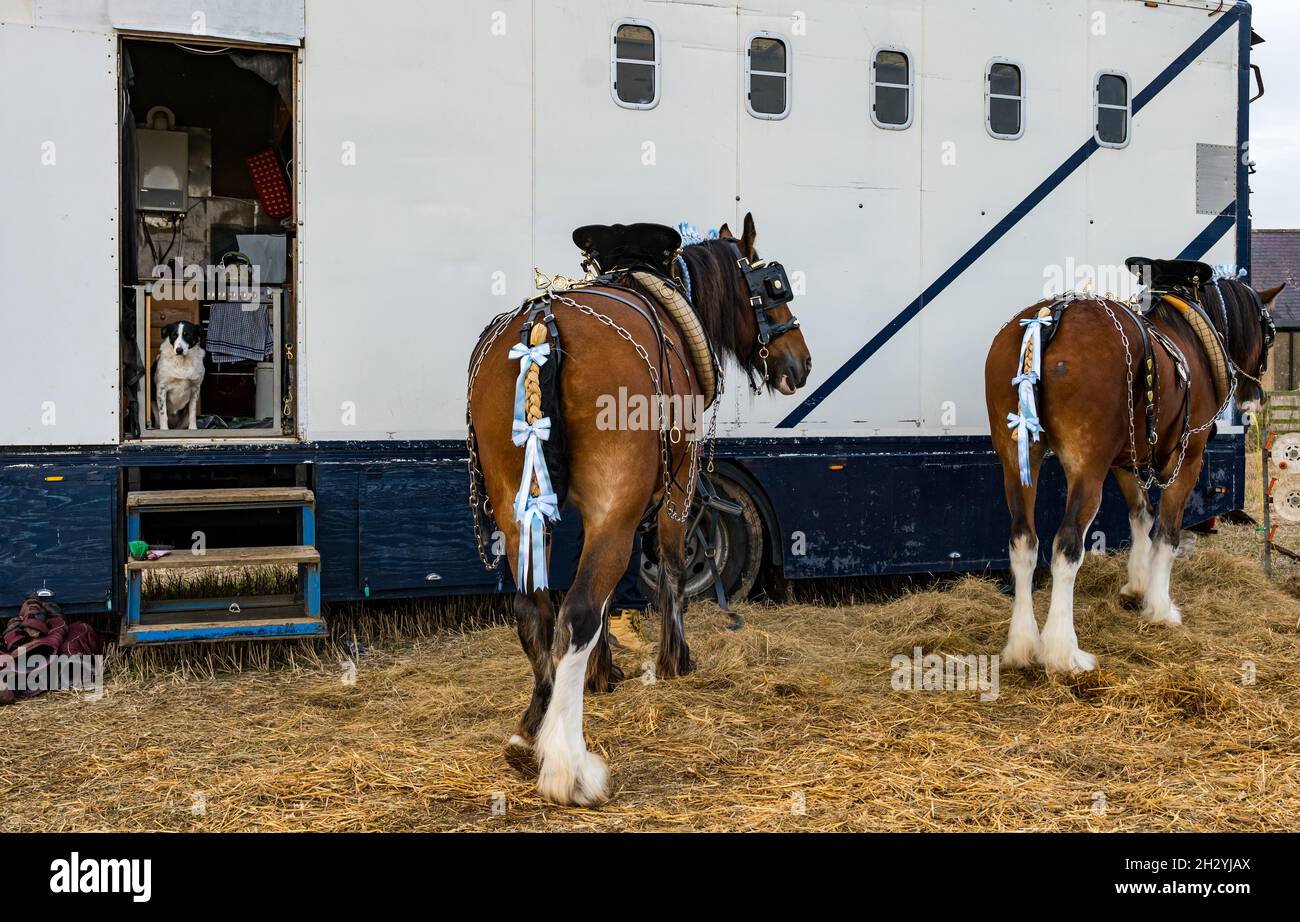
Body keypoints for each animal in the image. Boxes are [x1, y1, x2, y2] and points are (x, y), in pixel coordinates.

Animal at [467, 211, 811, 801]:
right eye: (773, 287)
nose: (802, 362)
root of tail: (542, 327)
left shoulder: (587, 512)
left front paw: (601, 673)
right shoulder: (678, 482)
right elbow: (669, 565)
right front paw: (676, 660)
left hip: (522, 514)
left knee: (537, 612)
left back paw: (531, 732)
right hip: (623, 504)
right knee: (578, 610)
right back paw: (568, 765)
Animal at [987, 262, 1284, 671]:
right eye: (1269, 336)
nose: (1254, 398)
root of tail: (1049, 318)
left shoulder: (1126, 462)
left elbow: (1141, 517)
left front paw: (1137, 584)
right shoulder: (1188, 458)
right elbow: (1167, 533)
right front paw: (1160, 607)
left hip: (1016, 460)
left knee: (1023, 542)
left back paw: (1022, 645)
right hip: (1086, 470)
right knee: (1066, 546)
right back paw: (1064, 652)